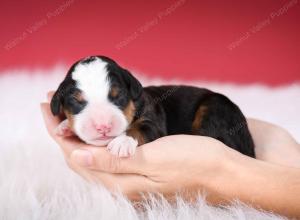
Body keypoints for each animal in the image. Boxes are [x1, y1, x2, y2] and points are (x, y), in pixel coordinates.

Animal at [51, 55, 255, 157]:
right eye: (77, 101)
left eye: (118, 96)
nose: (103, 126)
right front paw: (65, 126)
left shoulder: (153, 122)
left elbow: (139, 129)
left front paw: (123, 141)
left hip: (214, 108)